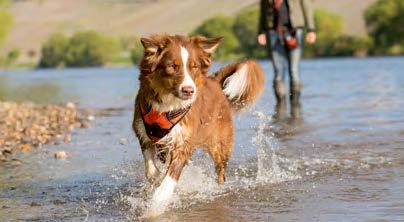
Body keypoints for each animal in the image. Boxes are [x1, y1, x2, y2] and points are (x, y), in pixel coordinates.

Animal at [133, 33, 266, 216]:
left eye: (194, 67)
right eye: (172, 66)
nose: (189, 90)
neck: (168, 105)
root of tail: (215, 81)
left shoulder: (184, 143)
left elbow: (170, 179)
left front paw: (156, 205)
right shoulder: (143, 133)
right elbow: (151, 170)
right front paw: (157, 179)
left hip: (220, 145)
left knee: (221, 173)